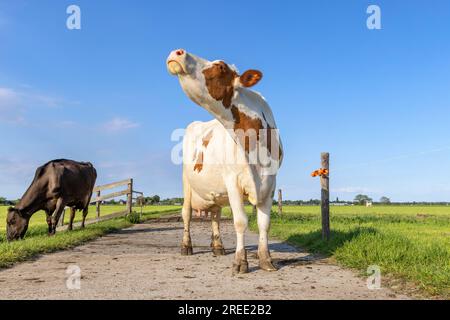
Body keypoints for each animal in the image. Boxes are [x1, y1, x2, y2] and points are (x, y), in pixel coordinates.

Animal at [167, 49, 284, 272]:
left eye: (221, 66)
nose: (178, 52)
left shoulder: (271, 183)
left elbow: (264, 224)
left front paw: (266, 259)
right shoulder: (232, 181)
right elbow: (240, 221)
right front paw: (240, 261)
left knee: (215, 215)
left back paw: (218, 246)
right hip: (186, 182)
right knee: (186, 213)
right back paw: (186, 246)